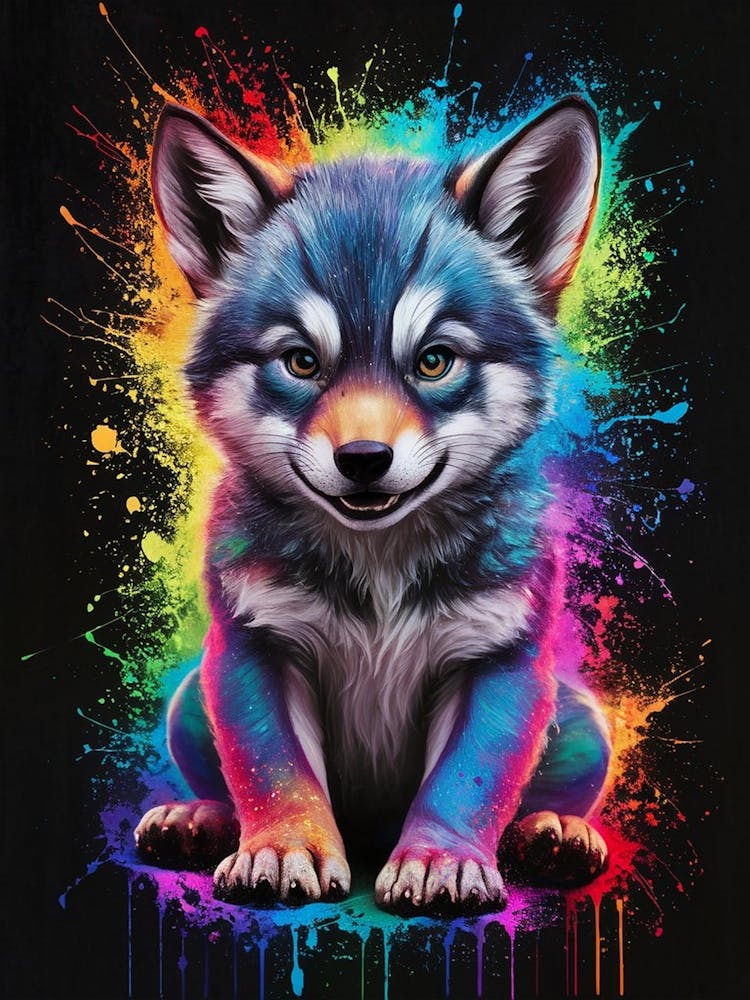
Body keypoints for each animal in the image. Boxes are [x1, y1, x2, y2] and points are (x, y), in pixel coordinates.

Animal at [134, 96, 612, 914]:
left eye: (435, 361)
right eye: (300, 362)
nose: (363, 459)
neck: (379, 566)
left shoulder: (501, 657)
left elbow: (468, 780)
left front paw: (440, 861)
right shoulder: (255, 645)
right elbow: (272, 767)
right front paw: (283, 848)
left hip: (582, 718)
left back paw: (553, 832)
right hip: (191, 698)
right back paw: (198, 819)